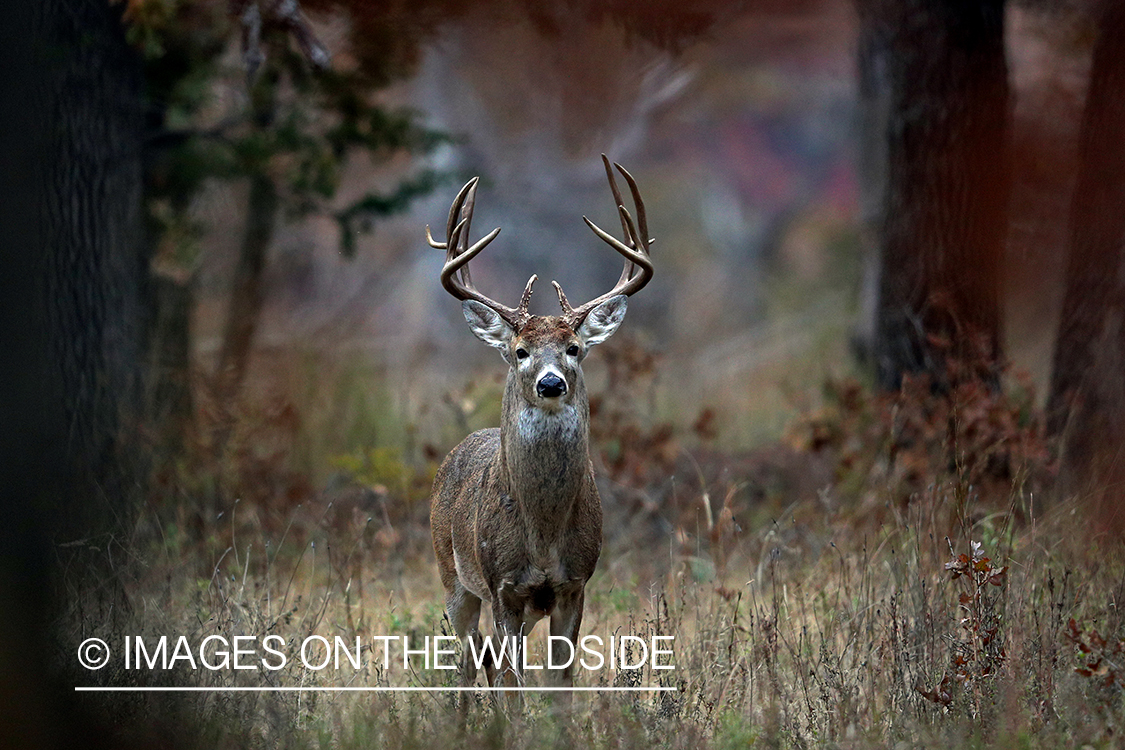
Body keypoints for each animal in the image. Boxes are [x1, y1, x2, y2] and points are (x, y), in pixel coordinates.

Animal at [425, 154, 657, 706]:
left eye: (574, 347)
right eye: (519, 351)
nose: (551, 383)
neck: (545, 536)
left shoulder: (574, 584)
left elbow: (560, 685)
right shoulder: (503, 585)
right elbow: (514, 685)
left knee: (485, 658)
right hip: (452, 576)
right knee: (467, 659)